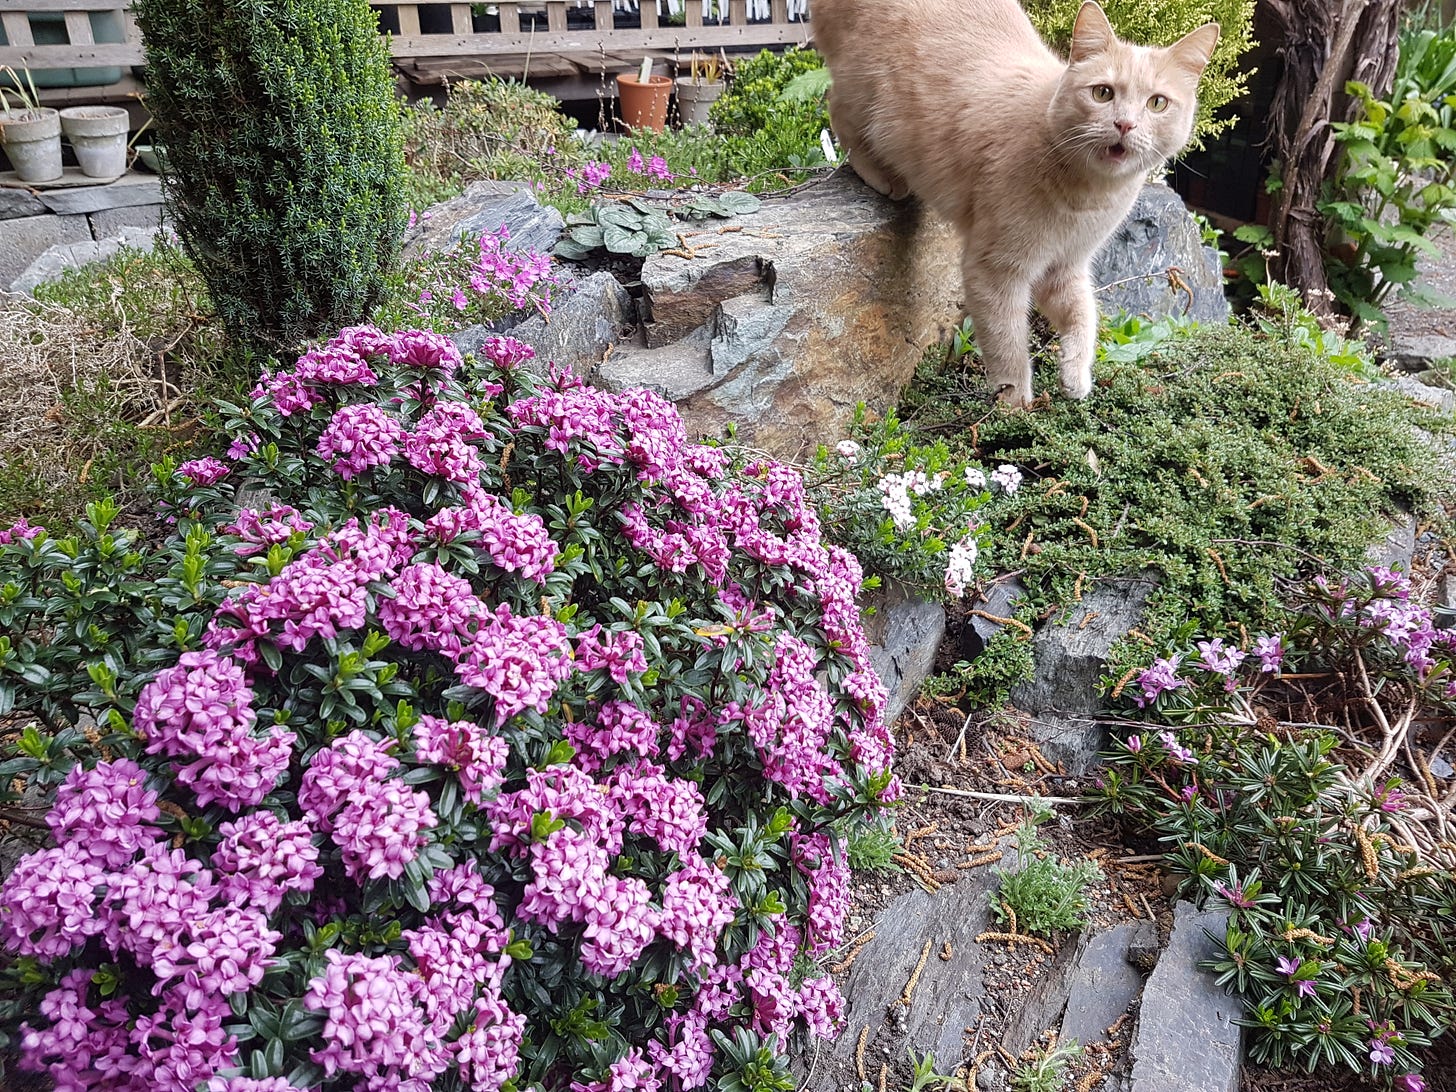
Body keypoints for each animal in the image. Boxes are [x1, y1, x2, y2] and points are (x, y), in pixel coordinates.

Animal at [821, 0, 1217, 407]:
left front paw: (1075, 375)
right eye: (1103, 93)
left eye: (1157, 103)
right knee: (836, 109)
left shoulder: (1066, 267)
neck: (1087, 198)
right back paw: (882, 176)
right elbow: (1007, 344)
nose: (1124, 125)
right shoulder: (995, 271)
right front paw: (1016, 406)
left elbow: (1085, 317)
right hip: (862, 91)